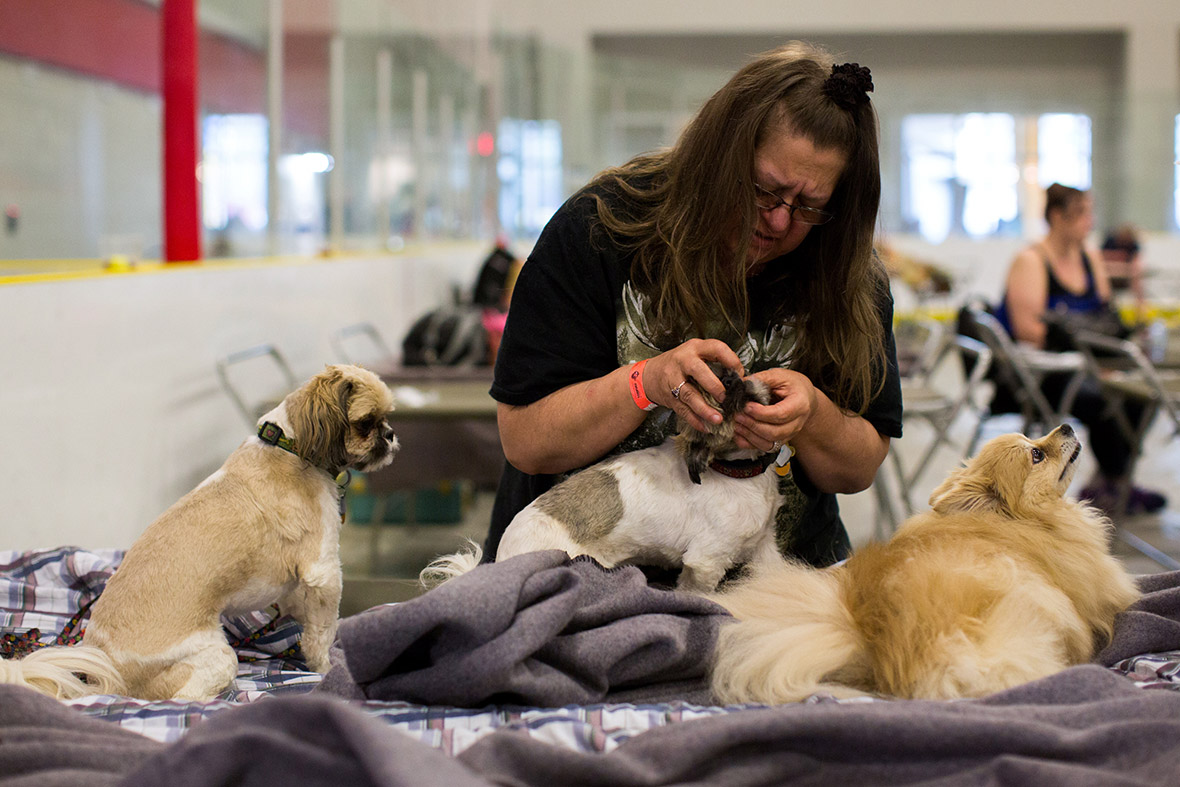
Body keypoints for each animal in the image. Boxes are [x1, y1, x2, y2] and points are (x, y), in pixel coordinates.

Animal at [420, 370, 788, 589]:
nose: (731, 375)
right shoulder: (705, 561)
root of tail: (503, 556)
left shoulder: (765, 548)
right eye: (723, 401)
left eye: (739, 373)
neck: (739, 475)